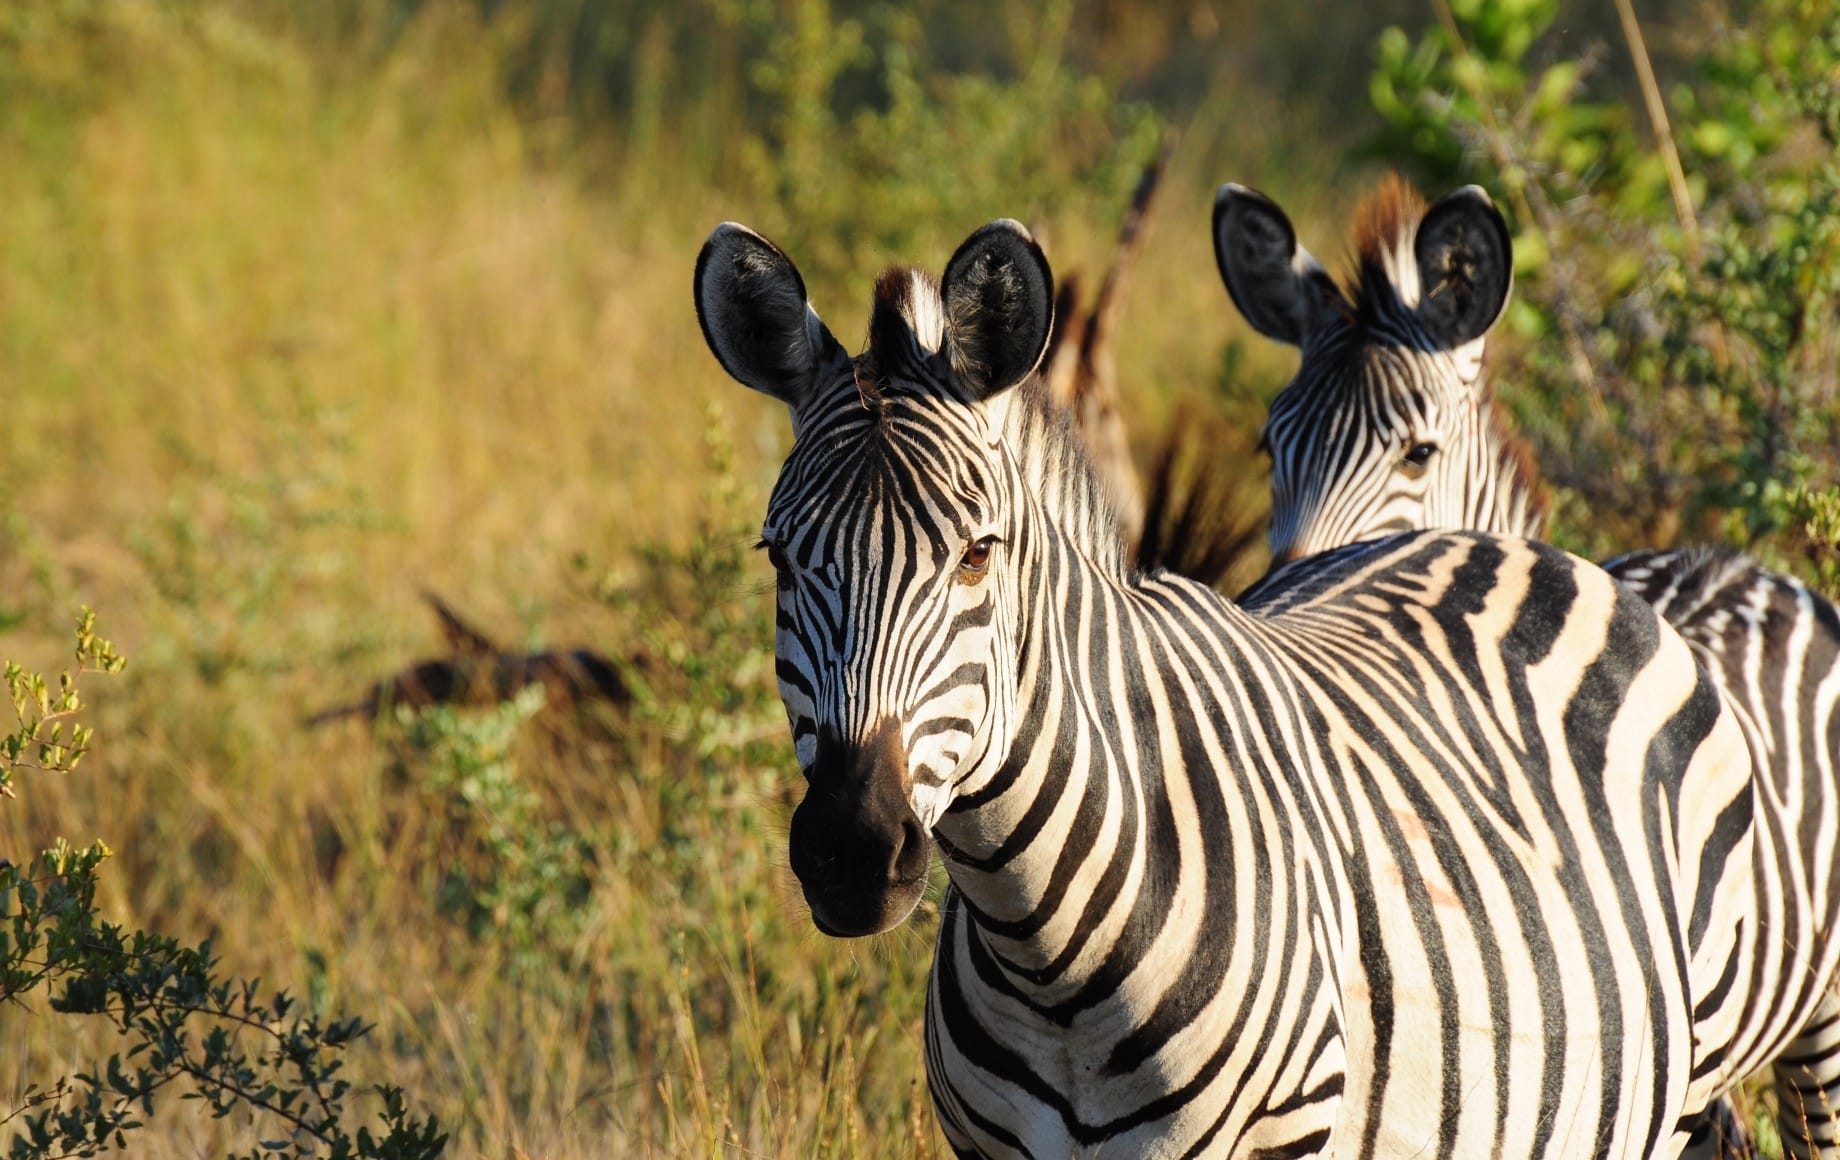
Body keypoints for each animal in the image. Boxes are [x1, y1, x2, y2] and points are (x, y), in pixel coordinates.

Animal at [695, 216, 1773, 1156]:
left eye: (976, 555)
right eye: (778, 558)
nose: (851, 851)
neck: (1045, 949)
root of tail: (1491, 539)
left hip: (1687, 1076)